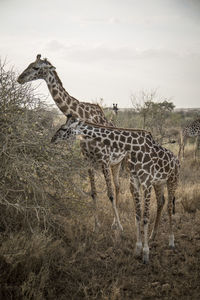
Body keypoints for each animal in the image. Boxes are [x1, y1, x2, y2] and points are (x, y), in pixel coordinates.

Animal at [18, 54, 122, 231]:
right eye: (30, 64)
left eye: (36, 67)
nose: (20, 78)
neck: (86, 118)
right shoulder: (88, 160)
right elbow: (93, 192)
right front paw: (96, 226)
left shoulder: (104, 160)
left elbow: (110, 194)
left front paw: (118, 229)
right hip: (112, 164)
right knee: (116, 187)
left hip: (119, 163)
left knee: (117, 187)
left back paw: (116, 223)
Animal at [51, 117, 180, 262]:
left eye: (63, 128)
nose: (52, 139)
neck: (133, 147)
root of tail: (177, 160)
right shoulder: (134, 181)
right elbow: (137, 214)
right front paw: (137, 249)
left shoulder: (146, 182)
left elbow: (145, 217)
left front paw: (146, 253)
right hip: (159, 183)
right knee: (161, 202)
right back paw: (153, 235)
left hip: (172, 180)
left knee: (169, 206)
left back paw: (171, 242)